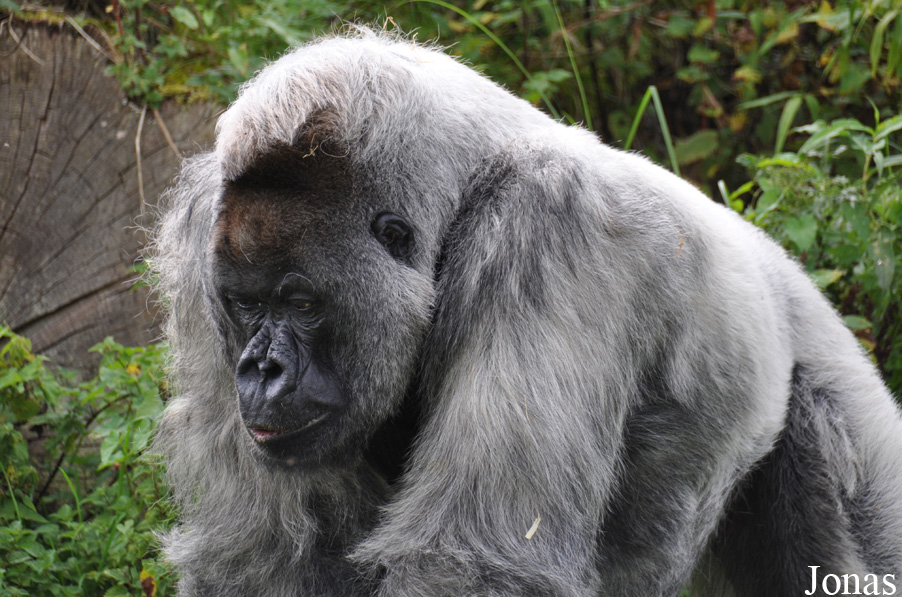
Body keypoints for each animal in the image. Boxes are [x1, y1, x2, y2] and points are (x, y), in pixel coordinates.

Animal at [150, 28, 902, 596]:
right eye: (245, 305)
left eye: (302, 304)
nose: (261, 369)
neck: (459, 183)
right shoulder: (201, 225)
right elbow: (264, 555)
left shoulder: (546, 226)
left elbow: (473, 560)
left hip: (852, 400)